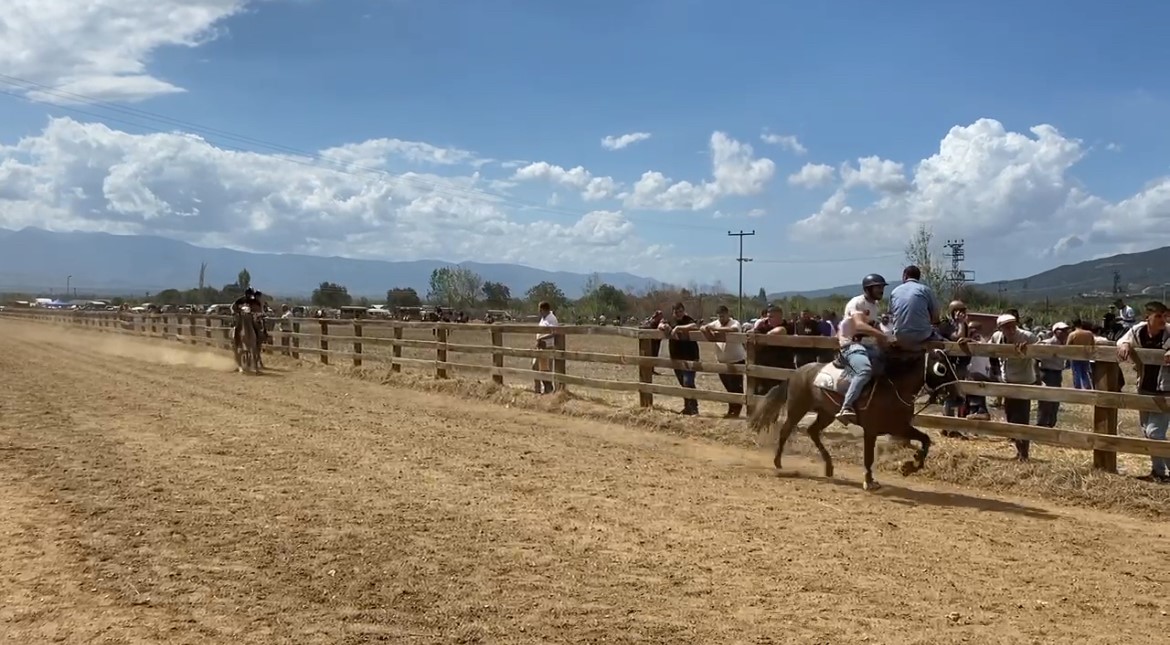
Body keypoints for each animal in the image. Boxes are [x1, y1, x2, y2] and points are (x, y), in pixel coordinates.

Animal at [748, 348, 959, 489]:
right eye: (941, 368)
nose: (957, 395)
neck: (893, 388)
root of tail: (796, 373)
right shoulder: (872, 430)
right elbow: (868, 457)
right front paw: (869, 481)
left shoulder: (900, 426)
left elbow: (926, 440)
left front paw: (909, 466)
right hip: (797, 408)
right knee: (785, 431)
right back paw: (778, 462)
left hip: (826, 414)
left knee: (812, 431)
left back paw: (829, 467)